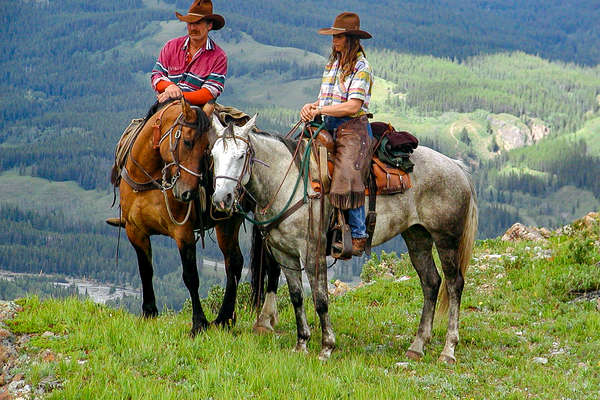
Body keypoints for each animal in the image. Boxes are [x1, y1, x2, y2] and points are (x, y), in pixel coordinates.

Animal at [110, 100, 244, 334]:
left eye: (207, 149)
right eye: (188, 142)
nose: (187, 193)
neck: (149, 179)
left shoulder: (183, 233)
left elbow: (191, 277)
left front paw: (199, 323)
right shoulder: (135, 231)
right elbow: (146, 270)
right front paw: (149, 312)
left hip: (227, 222)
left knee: (233, 263)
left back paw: (223, 319)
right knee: (232, 262)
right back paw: (227, 318)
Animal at [211, 115, 478, 362]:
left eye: (241, 155)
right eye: (213, 155)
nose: (221, 199)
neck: (287, 183)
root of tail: (456, 166)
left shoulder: (312, 251)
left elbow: (320, 299)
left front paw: (326, 347)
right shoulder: (284, 254)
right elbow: (297, 297)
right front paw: (302, 343)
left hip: (446, 239)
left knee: (454, 284)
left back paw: (448, 350)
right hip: (417, 236)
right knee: (431, 282)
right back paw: (417, 345)